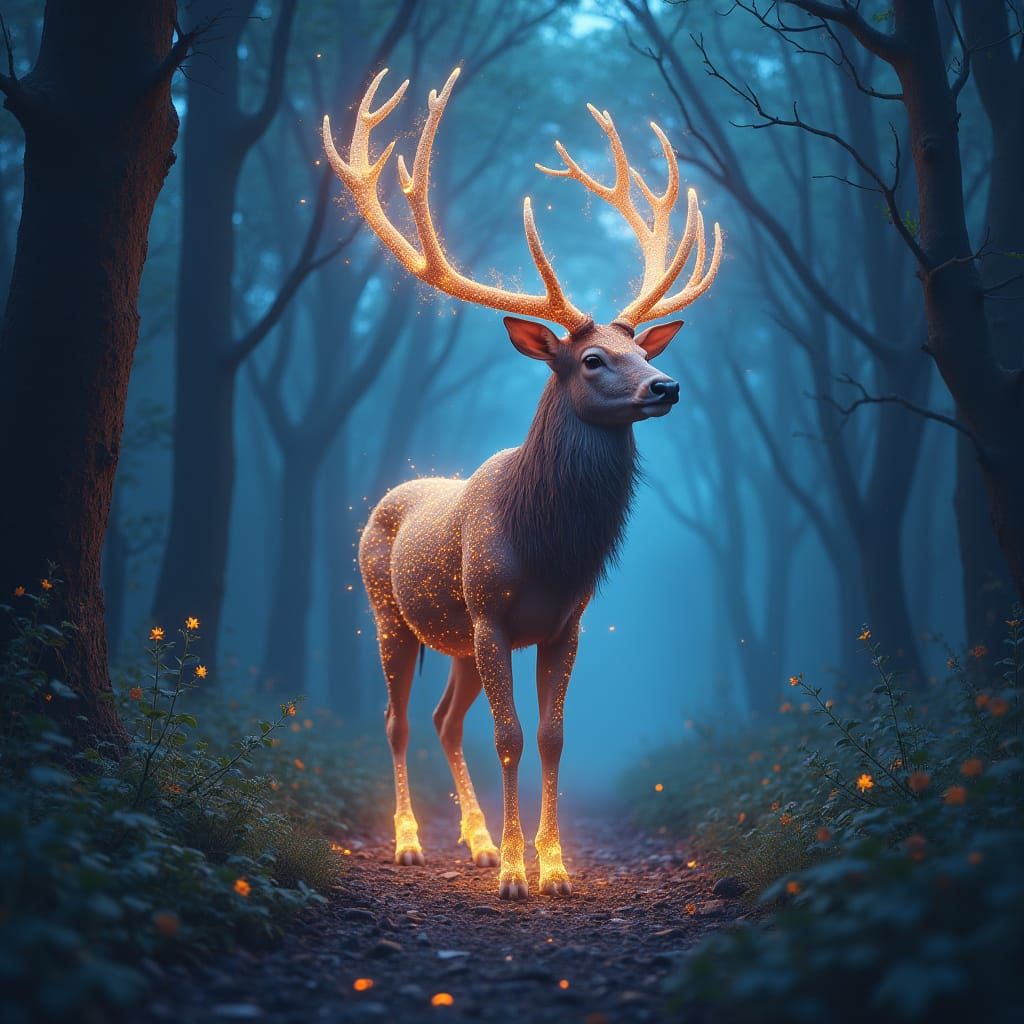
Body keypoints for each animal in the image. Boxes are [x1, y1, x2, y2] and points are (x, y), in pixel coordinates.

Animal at [323, 67, 722, 900]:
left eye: (641, 350)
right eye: (593, 359)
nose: (666, 385)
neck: (546, 547)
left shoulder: (565, 622)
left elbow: (551, 736)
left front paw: (554, 867)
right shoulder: (490, 614)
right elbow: (507, 737)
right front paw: (514, 875)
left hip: (455, 642)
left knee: (444, 719)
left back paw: (472, 842)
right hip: (392, 613)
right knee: (399, 721)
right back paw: (413, 843)